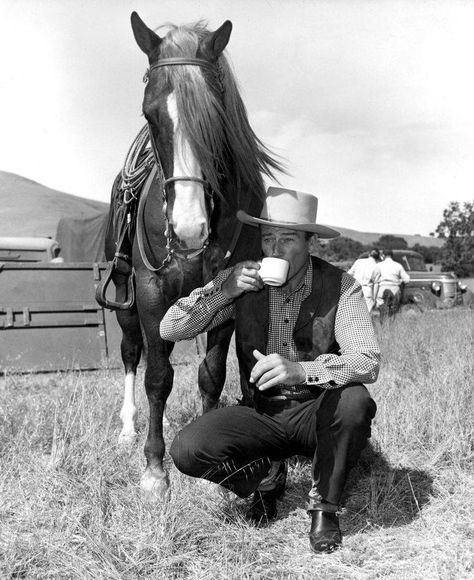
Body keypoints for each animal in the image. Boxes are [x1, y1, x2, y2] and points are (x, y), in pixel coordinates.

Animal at [99, 11, 282, 496]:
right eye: (149, 113)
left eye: (216, 116)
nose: (188, 229)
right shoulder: (150, 294)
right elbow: (158, 377)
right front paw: (154, 469)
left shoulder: (230, 296)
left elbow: (211, 374)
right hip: (124, 293)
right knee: (131, 352)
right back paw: (129, 427)